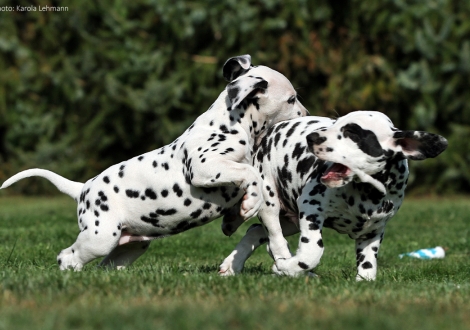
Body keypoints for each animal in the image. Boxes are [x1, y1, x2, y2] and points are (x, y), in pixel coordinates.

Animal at [0, 54, 308, 270]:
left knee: (106, 265)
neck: (232, 123)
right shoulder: (204, 166)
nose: (307, 113)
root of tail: (83, 189)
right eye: (292, 99)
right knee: (67, 257)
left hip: (129, 247)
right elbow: (248, 174)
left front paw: (235, 218)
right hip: (99, 238)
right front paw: (249, 205)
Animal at [220, 111, 448, 282]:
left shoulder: (373, 230)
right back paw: (285, 263)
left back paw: (232, 265)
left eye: (352, 132)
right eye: (335, 123)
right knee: (274, 238)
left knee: (255, 230)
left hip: (292, 220)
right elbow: (312, 251)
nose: (311, 137)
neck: (367, 192)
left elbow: (368, 265)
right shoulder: (311, 208)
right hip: (270, 202)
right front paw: (286, 266)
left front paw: (364, 280)